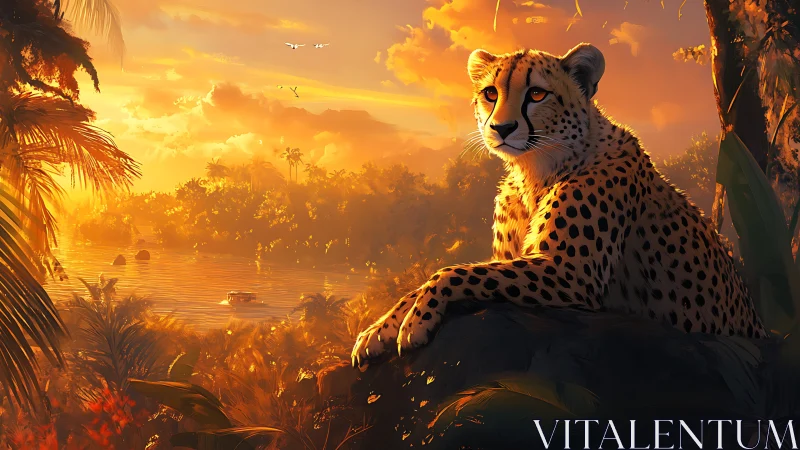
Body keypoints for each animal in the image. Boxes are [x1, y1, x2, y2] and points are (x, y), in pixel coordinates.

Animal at [351, 43, 768, 367]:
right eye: (490, 93)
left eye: (537, 94)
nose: (501, 128)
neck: (535, 171)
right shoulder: (520, 260)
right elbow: (449, 275)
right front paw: (380, 327)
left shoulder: (570, 271)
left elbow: (452, 272)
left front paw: (415, 321)